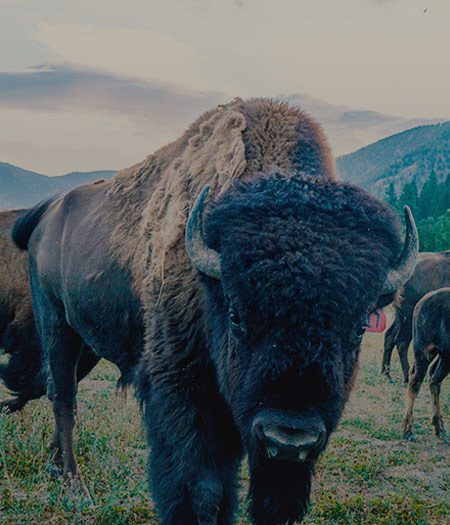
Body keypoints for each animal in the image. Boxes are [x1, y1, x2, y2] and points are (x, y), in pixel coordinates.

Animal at [11, 99, 418, 524]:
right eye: (237, 315)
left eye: (358, 328)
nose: (290, 439)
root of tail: (49, 211)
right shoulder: (185, 391)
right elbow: (202, 486)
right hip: (54, 322)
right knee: (64, 396)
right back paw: (73, 481)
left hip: (86, 340)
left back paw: (56, 464)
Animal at [382, 250, 448, 380]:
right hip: (408, 317)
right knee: (401, 342)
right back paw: (406, 376)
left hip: (401, 317)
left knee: (389, 336)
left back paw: (387, 375)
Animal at [402, 286, 448, 438]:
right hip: (424, 352)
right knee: (415, 381)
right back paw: (407, 429)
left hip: (445, 356)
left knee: (434, 379)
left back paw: (439, 426)